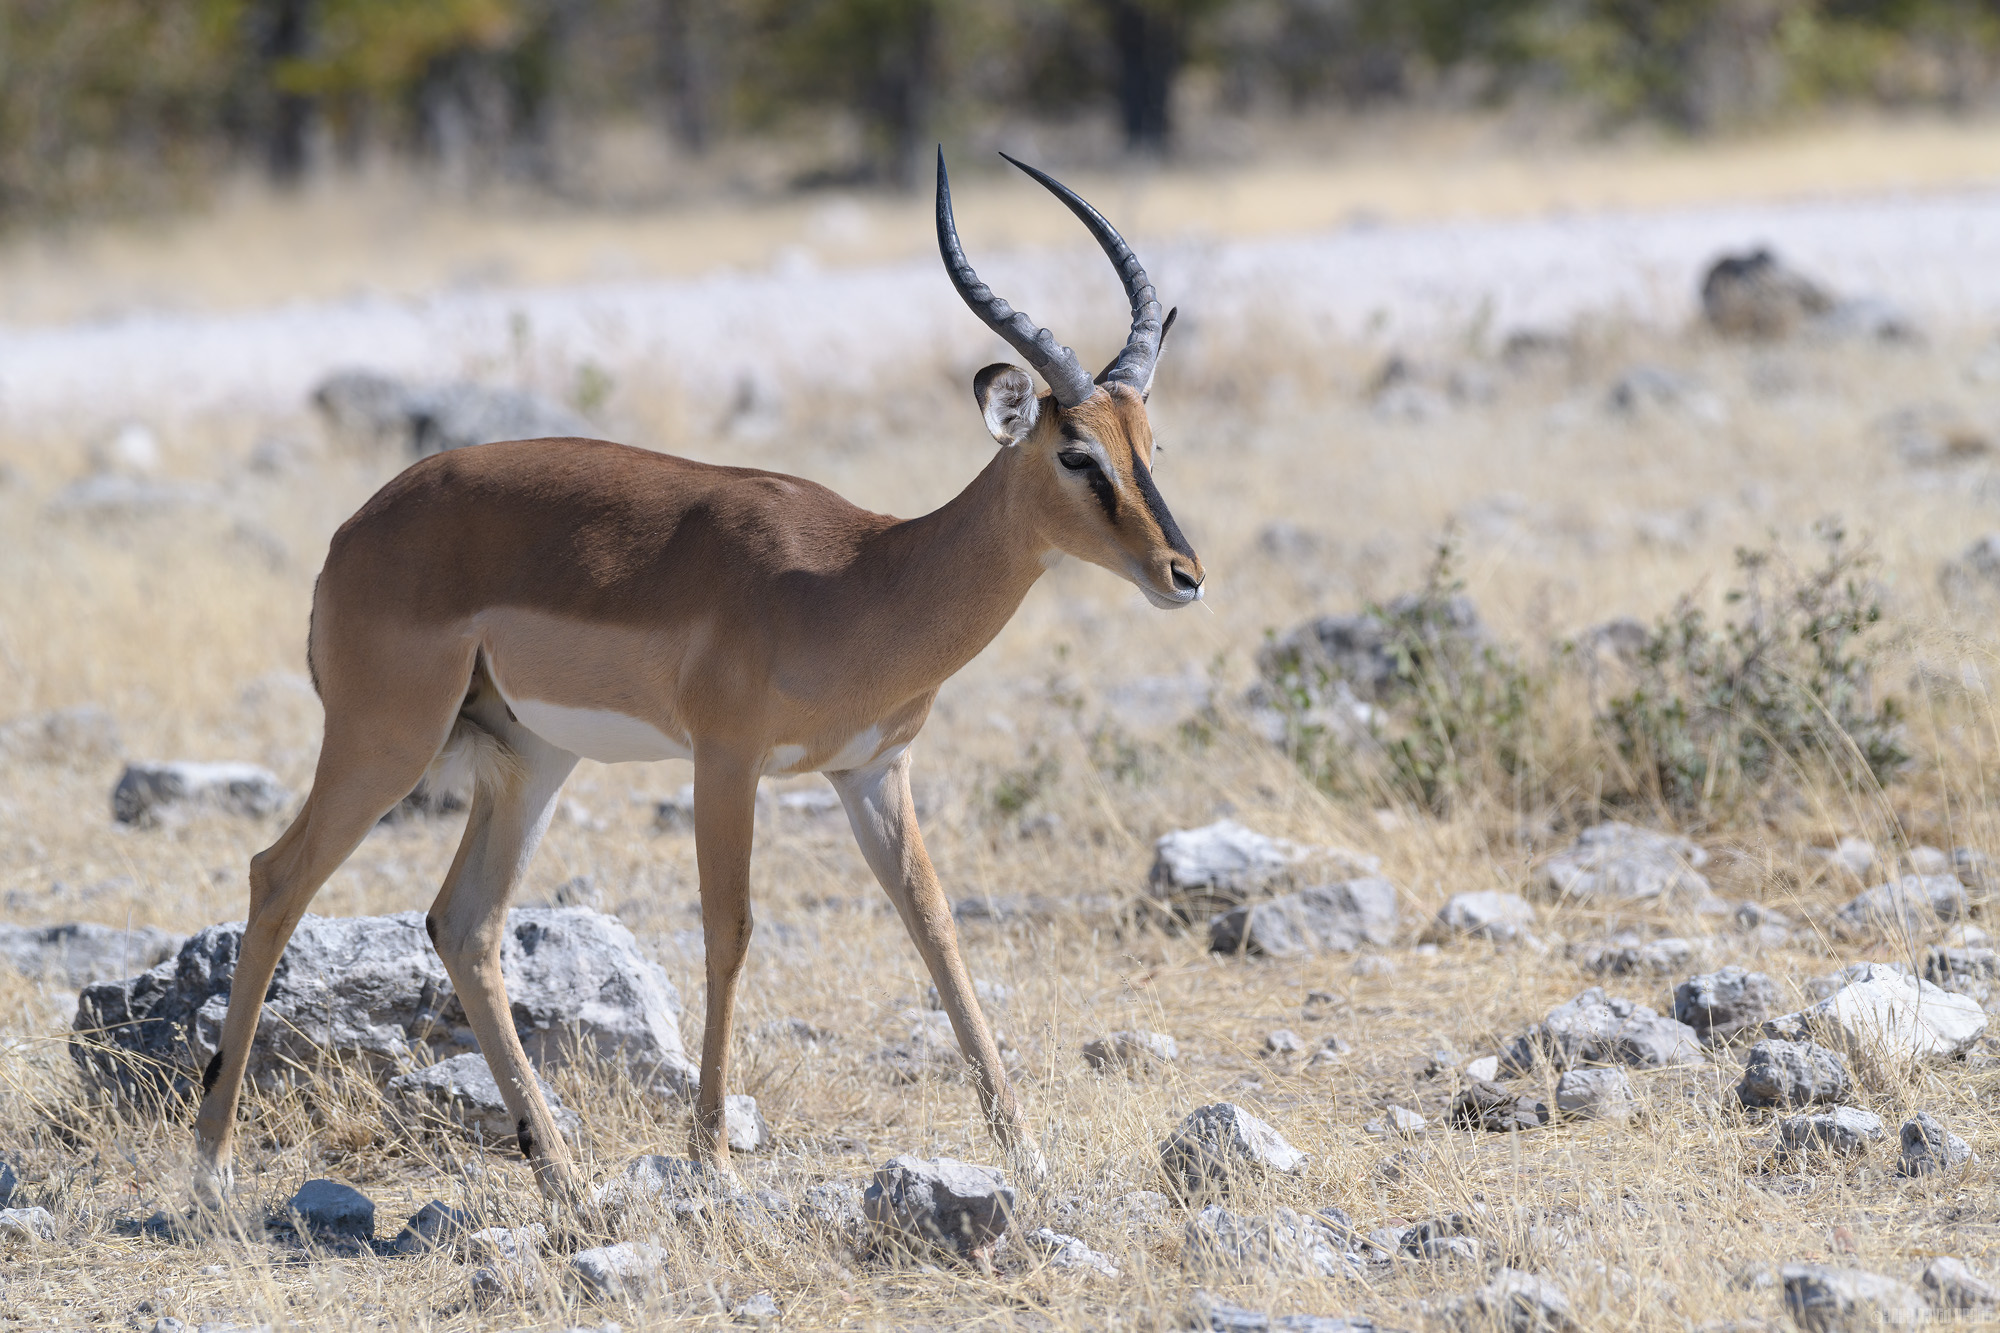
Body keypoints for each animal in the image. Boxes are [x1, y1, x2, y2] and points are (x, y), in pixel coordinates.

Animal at [191, 149, 1204, 1203]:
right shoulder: (726, 760)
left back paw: (564, 1176)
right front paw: (713, 1155)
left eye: (1150, 446)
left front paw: (1026, 1151)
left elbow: (934, 924)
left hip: (531, 759)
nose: (1183, 574)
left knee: (463, 922)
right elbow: (731, 927)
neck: (859, 578)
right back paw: (212, 1172)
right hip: (386, 741)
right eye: (1076, 454)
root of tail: (353, 532)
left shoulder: (874, 771)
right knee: (278, 876)